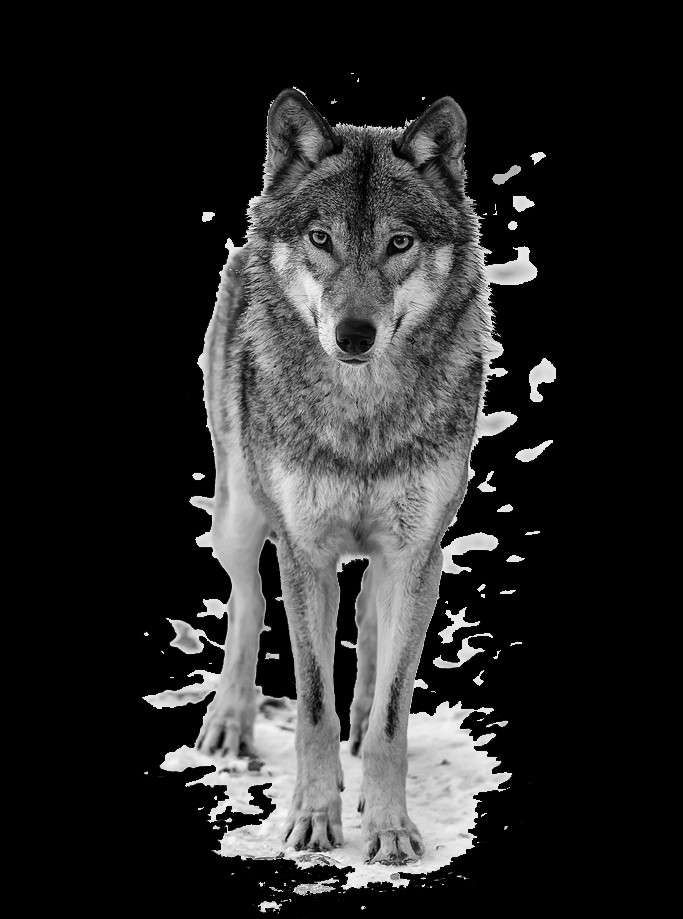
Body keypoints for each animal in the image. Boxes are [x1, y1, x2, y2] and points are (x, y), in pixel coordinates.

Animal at [196, 88, 493, 865]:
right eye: (321, 238)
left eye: (399, 243)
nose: (353, 336)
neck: (362, 420)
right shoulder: (305, 552)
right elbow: (310, 705)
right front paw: (312, 820)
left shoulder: (417, 552)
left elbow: (392, 714)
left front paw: (387, 827)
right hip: (239, 515)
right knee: (246, 602)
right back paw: (230, 723)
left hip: (397, 560)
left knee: (367, 623)